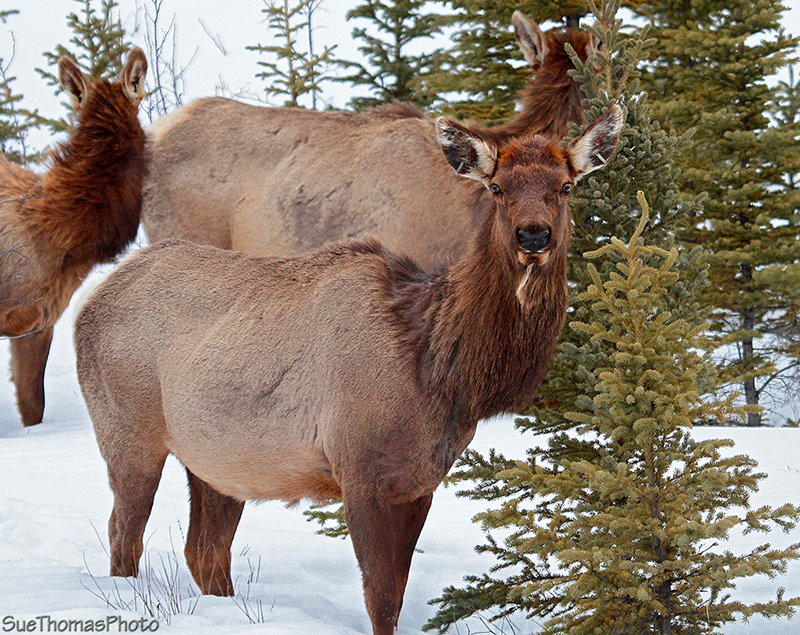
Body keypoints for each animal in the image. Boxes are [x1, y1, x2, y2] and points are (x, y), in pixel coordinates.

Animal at [74, 104, 623, 635]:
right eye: (497, 187)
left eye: (566, 186)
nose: (533, 235)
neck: (440, 370)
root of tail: (94, 298)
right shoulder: (358, 467)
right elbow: (379, 599)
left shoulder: (419, 481)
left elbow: (396, 595)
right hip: (127, 431)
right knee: (124, 536)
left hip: (217, 459)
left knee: (204, 550)